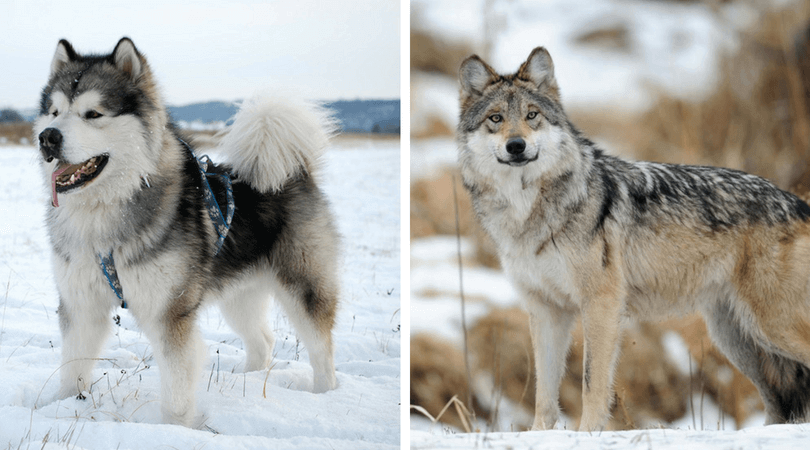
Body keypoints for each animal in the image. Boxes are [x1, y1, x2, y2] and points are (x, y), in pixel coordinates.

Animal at [32, 37, 338, 426]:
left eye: (93, 114)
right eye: (54, 112)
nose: (48, 138)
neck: (104, 212)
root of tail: (295, 171)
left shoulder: (170, 312)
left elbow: (177, 384)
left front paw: (176, 428)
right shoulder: (80, 303)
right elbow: (73, 367)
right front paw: (63, 408)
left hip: (304, 284)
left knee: (321, 346)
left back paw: (325, 394)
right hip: (240, 294)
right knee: (263, 340)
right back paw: (249, 382)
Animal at [454, 47, 808, 430]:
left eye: (532, 115)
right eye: (496, 118)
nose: (516, 145)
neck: (527, 213)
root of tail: (797, 202)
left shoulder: (601, 303)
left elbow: (592, 382)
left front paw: (588, 433)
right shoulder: (546, 310)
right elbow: (544, 393)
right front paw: (539, 434)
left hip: (771, 327)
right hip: (738, 339)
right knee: (778, 404)